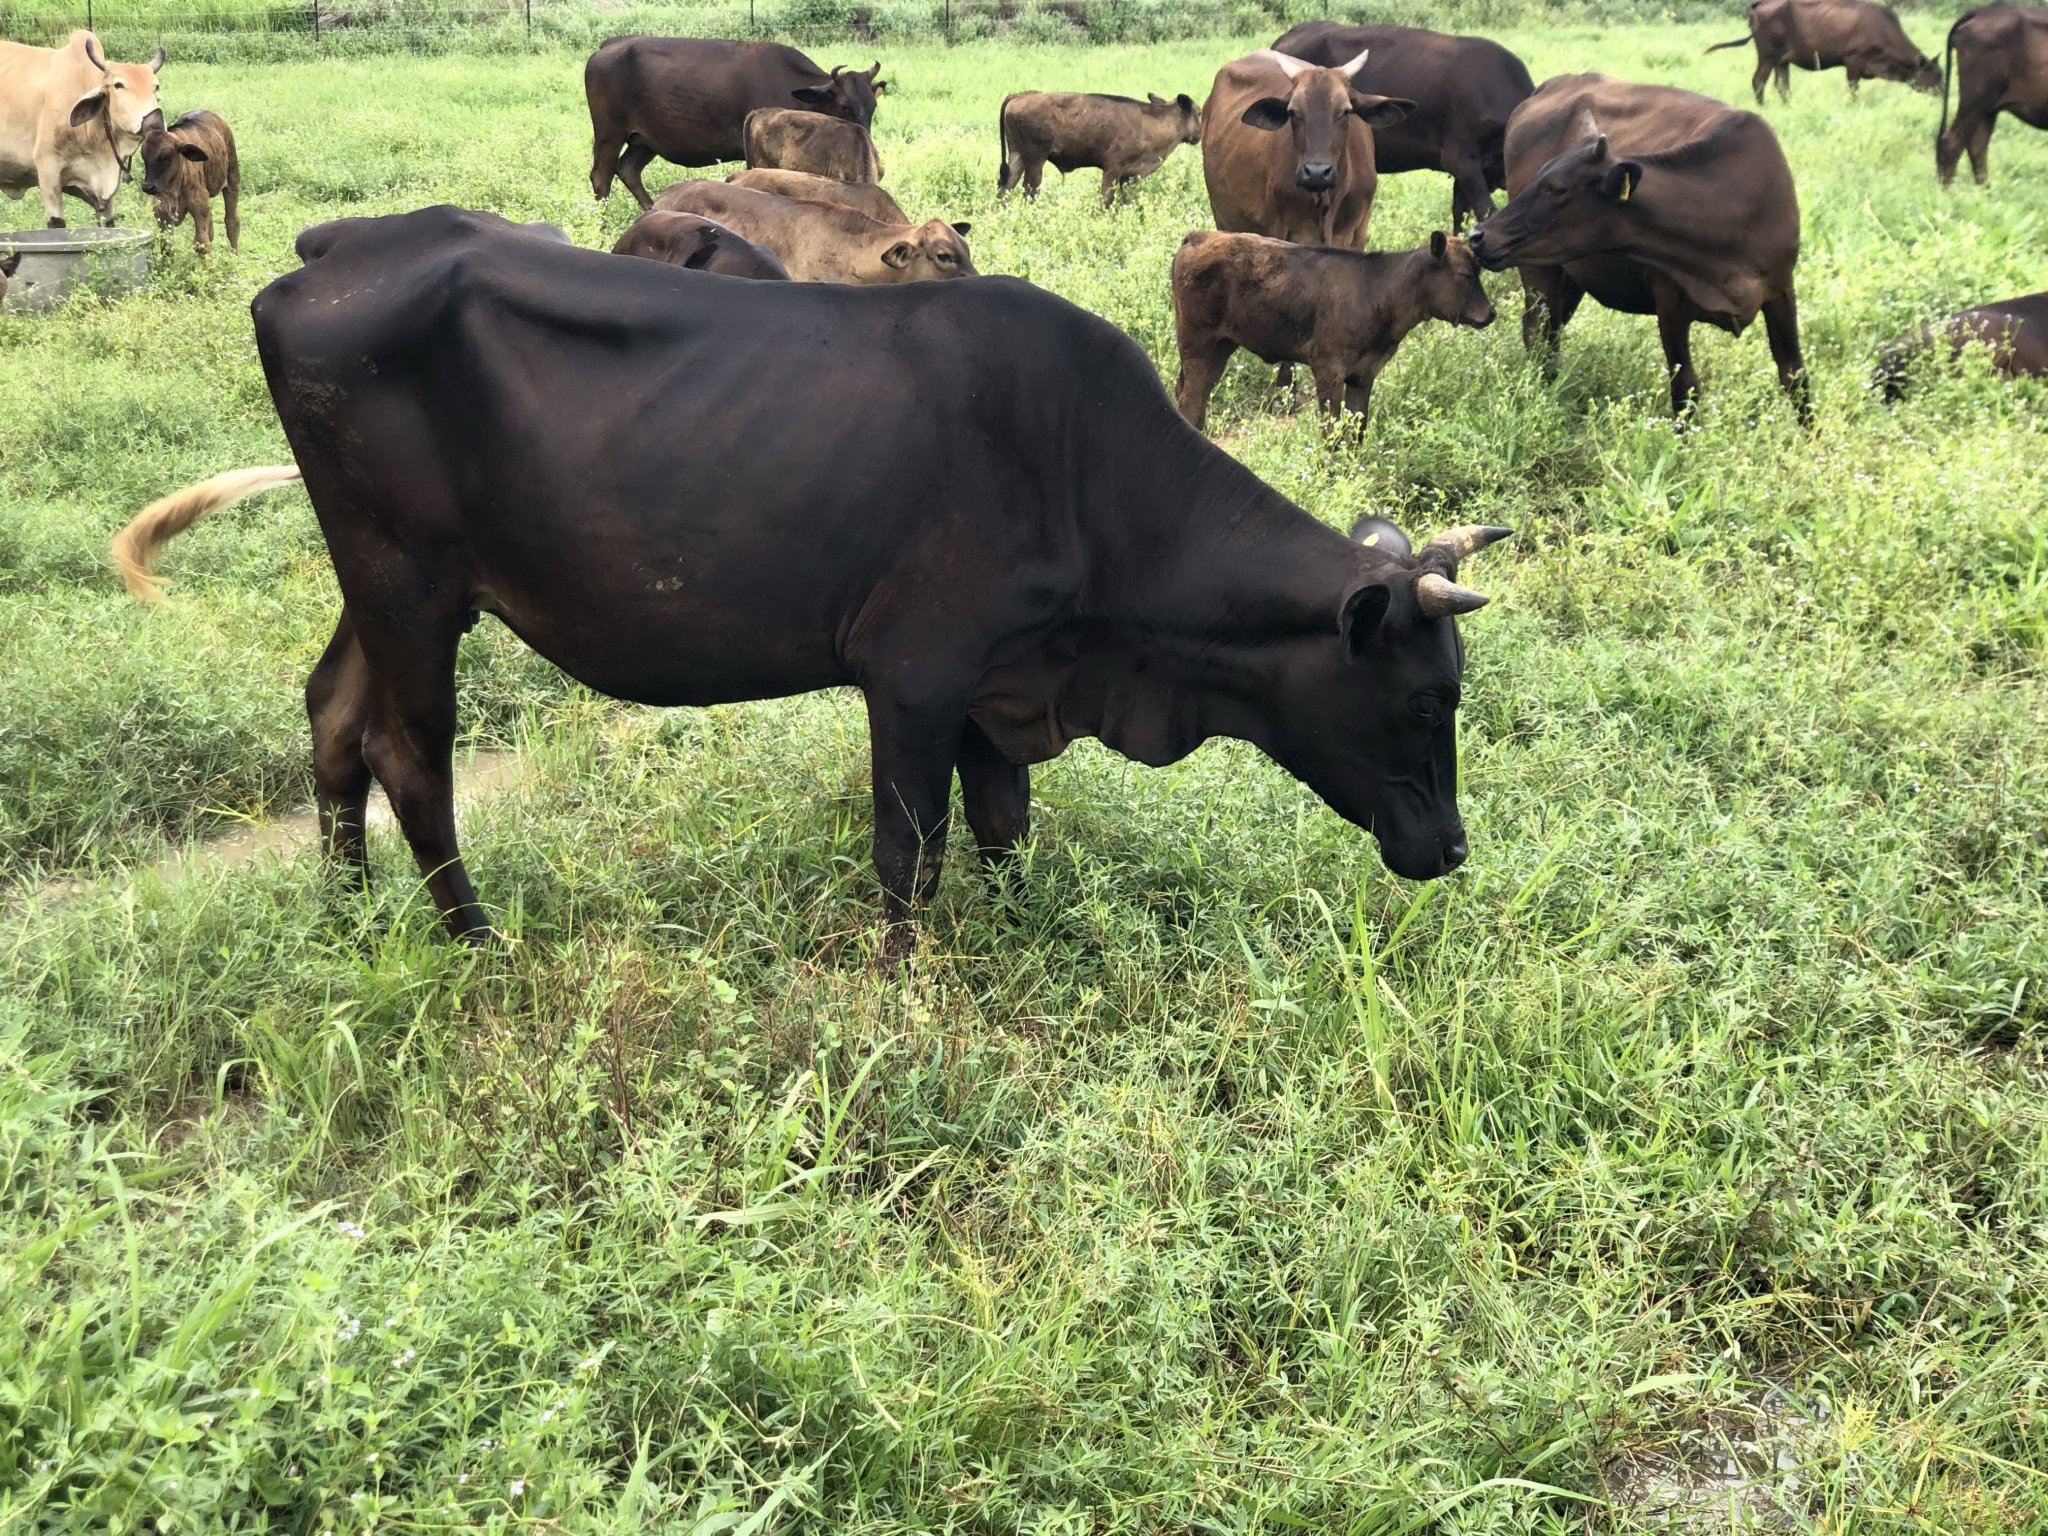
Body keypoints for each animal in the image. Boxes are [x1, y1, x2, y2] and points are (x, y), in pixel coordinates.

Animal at [138, 109, 239, 253]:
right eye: (143, 156)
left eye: (167, 156)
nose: (147, 187)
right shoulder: (161, 213)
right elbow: (167, 245)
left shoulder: (199, 204)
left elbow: (201, 244)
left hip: (232, 178)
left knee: (232, 222)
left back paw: (234, 257)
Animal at [996, 91, 1201, 207]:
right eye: (1198, 113)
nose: (1198, 136)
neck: (1152, 121)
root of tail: (1019, 96)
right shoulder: (1113, 169)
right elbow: (1106, 199)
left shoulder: (1128, 177)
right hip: (1035, 160)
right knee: (1029, 190)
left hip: (1017, 157)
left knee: (1005, 188)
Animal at [1171, 229, 1495, 432]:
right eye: (1466, 274)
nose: (1490, 313)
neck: (1378, 291)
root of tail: (1201, 235)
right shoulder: (1329, 368)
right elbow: (1332, 431)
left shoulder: (1364, 374)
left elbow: (1356, 430)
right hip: (1196, 342)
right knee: (1189, 399)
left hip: (1221, 346)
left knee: (1196, 395)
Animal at [1468, 75, 1808, 423]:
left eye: (1556, 188)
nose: (1478, 235)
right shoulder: (1670, 304)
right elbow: (1685, 389)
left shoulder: (1781, 290)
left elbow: (1795, 377)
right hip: (1539, 269)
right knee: (1537, 334)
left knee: (1551, 335)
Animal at [1704, 0, 1940, 104]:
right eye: (1936, 75)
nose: (1942, 92)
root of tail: (1758, 5)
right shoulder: (1854, 62)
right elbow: (1853, 89)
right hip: (1767, 55)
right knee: (1758, 80)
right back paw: (1762, 107)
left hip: (1782, 60)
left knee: (1782, 85)